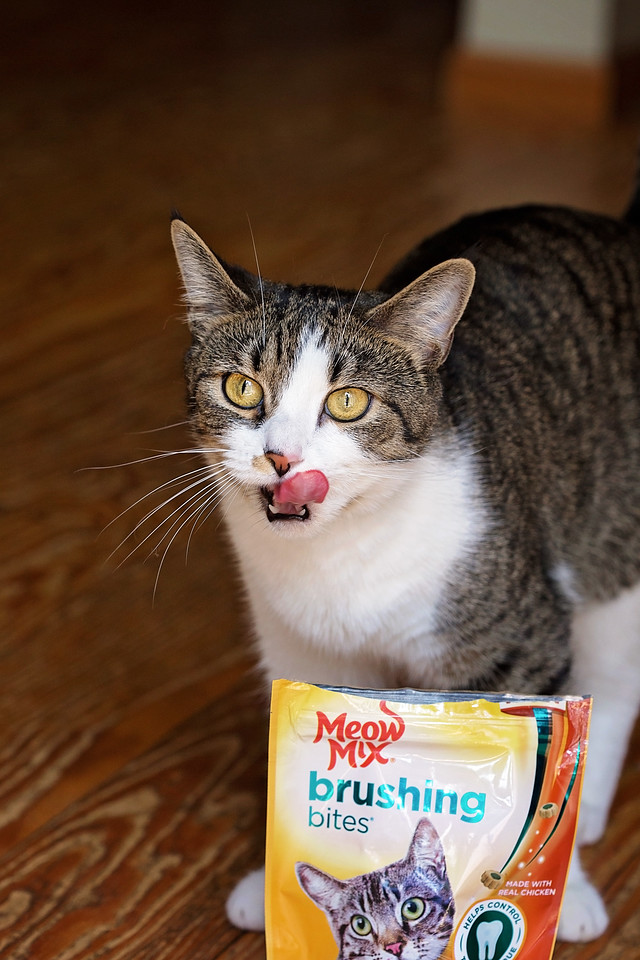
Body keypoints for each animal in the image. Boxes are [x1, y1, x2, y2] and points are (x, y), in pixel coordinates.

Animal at [170, 176, 640, 944]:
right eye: (241, 388)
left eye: (348, 403)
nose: (281, 458)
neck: (342, 557)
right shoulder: (303, 651)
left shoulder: (520, 639)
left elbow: (543, 770)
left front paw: (557, 889)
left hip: (613, 556)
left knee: (616, 681)